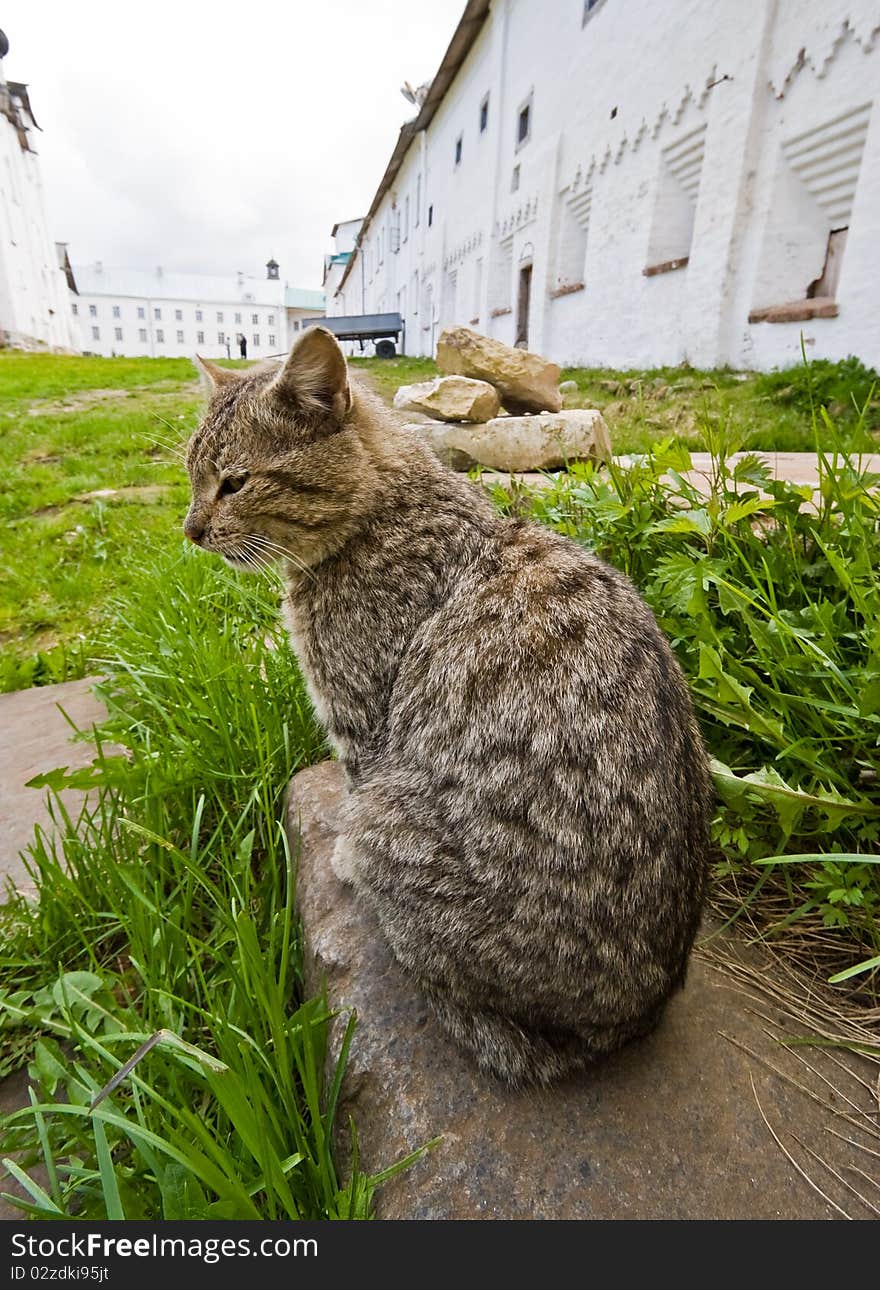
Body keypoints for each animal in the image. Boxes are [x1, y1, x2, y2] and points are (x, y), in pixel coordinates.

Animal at [184, 330, 712, 1088]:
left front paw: (340, 862)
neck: (386, 508)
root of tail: (633, 1016)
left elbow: (351, 781)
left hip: (390, 817)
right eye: (191, 476)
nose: (190, 529)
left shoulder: (362, 725)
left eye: (234, 481)